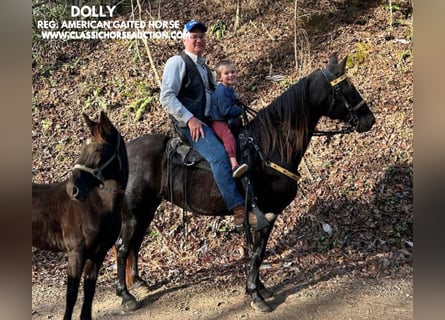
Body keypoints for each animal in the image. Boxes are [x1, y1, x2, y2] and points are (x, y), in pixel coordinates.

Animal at [31, 110, 127, 320]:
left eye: (99, 149)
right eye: (83, 147)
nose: (72, 189)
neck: (97, 206)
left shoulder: (98, 254)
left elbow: (89, 290)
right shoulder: (76, 253)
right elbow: (72, 293)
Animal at [114, 53, 374, 312]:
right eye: (345, 87)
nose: (369, 120)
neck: (269, 148)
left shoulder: (267, 215)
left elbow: (260, 251)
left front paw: (260, 287)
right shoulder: (265, 213)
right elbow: (257, 253)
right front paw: (255, 294)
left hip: (146, 209)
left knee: (135, 243)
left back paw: (139, 282)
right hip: (133, 212)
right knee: (122, 246)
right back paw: (126, 296)